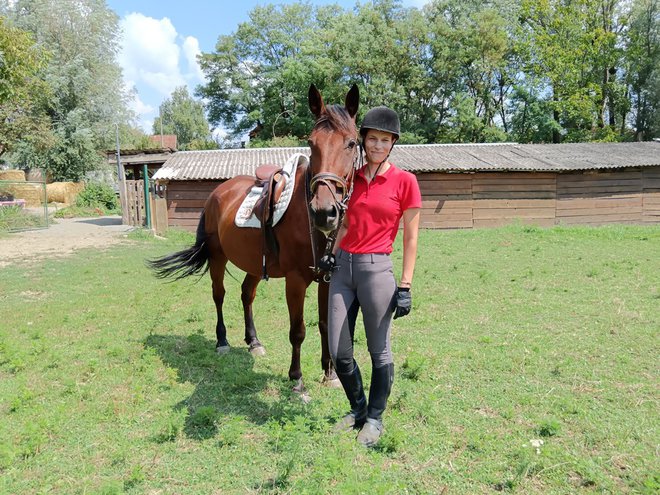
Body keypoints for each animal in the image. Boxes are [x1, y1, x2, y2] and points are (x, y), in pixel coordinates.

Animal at [149, 84, 358, 396]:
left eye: (352, 143)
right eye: (311, 143)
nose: (324, 212)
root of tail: (216, 193)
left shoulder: (327, 277)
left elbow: (323, 323)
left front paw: (329, 373)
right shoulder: (295, 281)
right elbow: (298, 330)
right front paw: (297, 379)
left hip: (253, 263)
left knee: (246, 294)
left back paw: (254, 342)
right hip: (217, 257)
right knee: (219, 295)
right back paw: (222, 341)